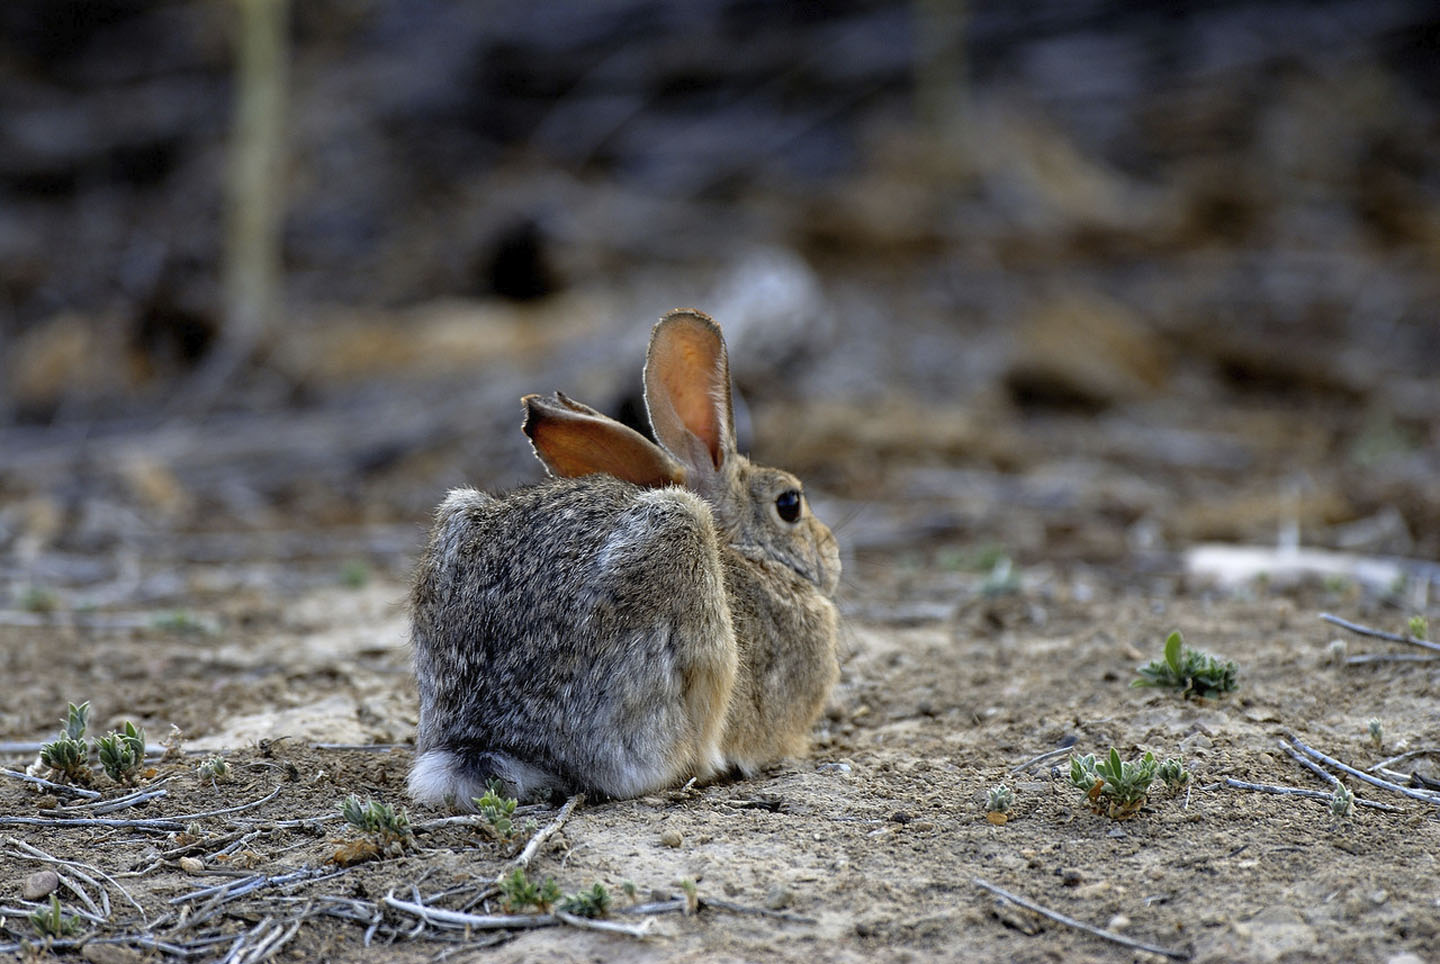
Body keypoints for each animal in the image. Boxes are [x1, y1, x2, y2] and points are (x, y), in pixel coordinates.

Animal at [408, 308, 840, 809]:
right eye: (790, 504)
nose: (833, 554)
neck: (750, 554)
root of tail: (492, 741)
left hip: (455, 520)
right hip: (682, 557)